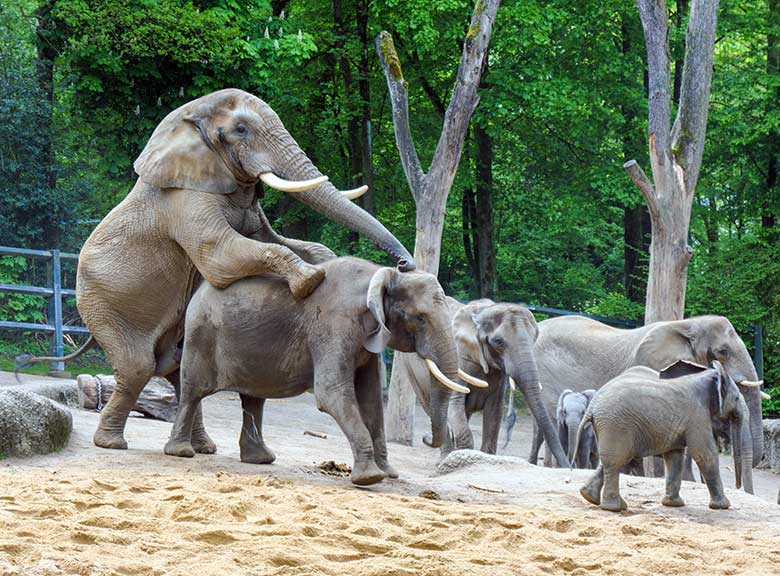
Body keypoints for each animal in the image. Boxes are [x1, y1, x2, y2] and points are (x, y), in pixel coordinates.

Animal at [16, 90, 414, 452]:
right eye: (240, 129)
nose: (404, 262)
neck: (189, 119)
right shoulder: (183, 200)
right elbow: (221, 256)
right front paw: (311, 281)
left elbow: (279, 241)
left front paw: (324, 264)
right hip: (104, 305)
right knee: (138, 367)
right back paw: (112, 443)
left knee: (176, 369)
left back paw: (202, 447)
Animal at [165, 256, 466, 486]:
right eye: (420, 318)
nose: (427, 438)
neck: (378, 274)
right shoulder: (333, 325)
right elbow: (331, 392)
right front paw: (369, 479)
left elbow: (370, 399)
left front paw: (389, 474)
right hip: (201, 333)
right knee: (192, 390)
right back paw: (180, 452)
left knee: (253, 398)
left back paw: (260, 459)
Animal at [576, 360, 752, 512]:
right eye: (736, 398)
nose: (738, 486)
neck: (708, 376)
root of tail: (592, 407)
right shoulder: (697, 416)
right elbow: (704, 454)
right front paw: (723, 506)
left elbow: (675, 457)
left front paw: (673, 504)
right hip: (616, 425)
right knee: (616, 461)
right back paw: (614, 508)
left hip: (610, 426)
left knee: (612, 460)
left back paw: (589, 497)